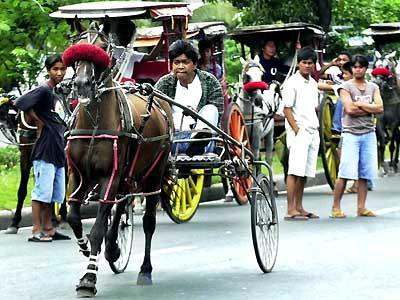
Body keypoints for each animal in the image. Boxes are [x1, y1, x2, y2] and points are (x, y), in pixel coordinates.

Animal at [63, 24, 173, 296]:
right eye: (76, 47)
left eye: (103, 47)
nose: (82, 84)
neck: (94, 122)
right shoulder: (76, 174)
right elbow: (74, 218)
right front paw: (85, 247)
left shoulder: (108, 176)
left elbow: (98, 227)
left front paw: (88, 278)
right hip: (127, 175)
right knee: (121, 205)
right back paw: (113, 248)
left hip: (153, 174)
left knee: (148, 222)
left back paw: (145, 270)